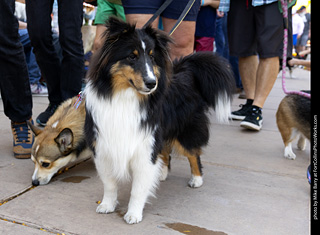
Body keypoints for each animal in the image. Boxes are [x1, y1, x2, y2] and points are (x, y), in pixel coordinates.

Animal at [84, 17, 235, 224]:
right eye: (132, 57)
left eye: (152, 58)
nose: (152, 83)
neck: (124, 96)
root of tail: (185, 71)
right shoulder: (103, 145)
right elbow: (109, 182)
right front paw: (107, 204)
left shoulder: (144, 143)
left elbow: (138, 188)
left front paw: (133, 214)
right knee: (165, 152)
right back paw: (161, 173)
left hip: (183, 131)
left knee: (193, 153)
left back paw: (196, 179)